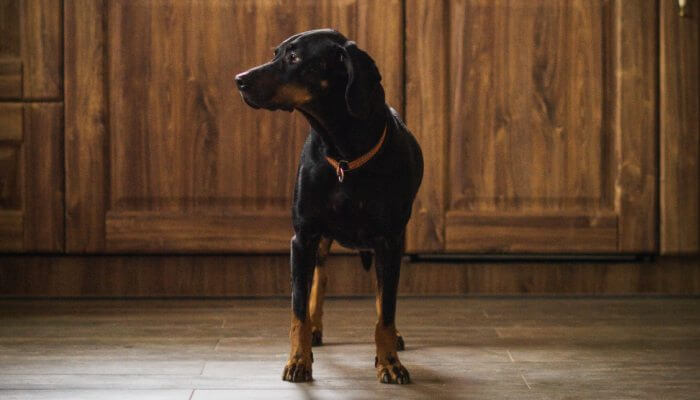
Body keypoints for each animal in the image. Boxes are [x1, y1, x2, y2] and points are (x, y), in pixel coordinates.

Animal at [235, 28, 422, 384]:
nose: (239, 80)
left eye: (294, 57)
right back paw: (315, 330)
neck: (344, 154)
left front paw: (389, 361)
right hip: (319, 241)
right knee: (318, 280)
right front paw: (298, 359)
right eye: (276, 52)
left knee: (384, 296)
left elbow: (386, 310)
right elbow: (298, 310)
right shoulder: (303, 237)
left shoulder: (389, 241)